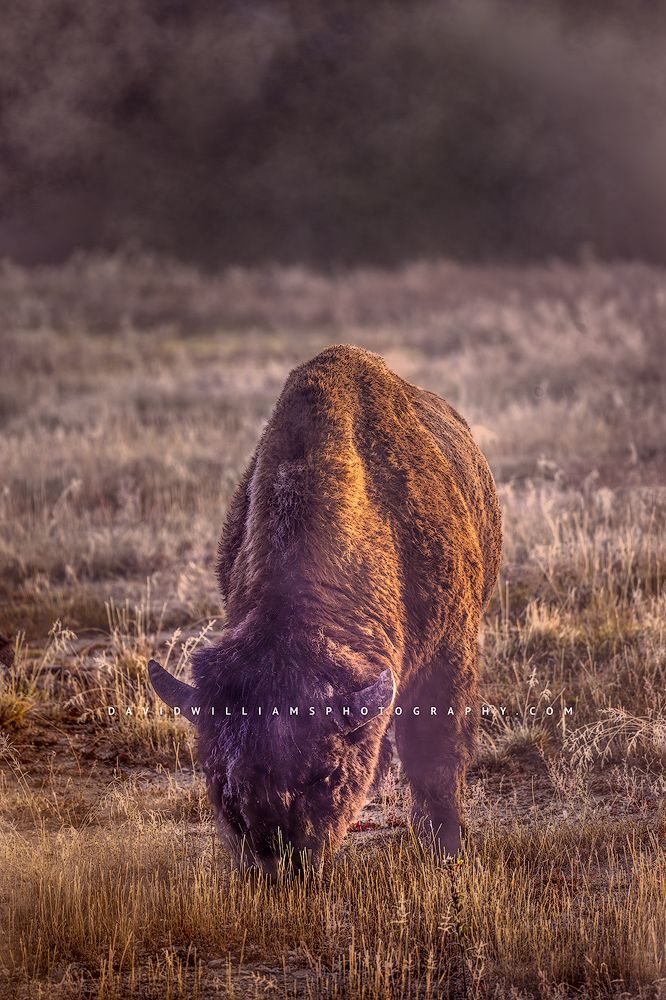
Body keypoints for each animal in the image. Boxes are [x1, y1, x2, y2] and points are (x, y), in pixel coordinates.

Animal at [149, 345, 501, 873]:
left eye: (327, 774)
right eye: (217, 776)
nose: (280, 859)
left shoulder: (448, 654)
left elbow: (436, 757)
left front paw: (445, 849)